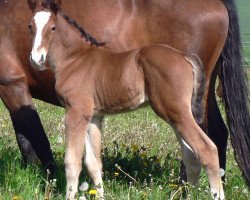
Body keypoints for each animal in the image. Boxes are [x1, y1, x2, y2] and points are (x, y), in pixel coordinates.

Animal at [0, 0, 249, 188]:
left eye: (52, 28)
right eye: (29, 27)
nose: (37, 59)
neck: (76, 58)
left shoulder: (15, 85)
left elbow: (43, 145)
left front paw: (49, 183)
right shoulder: (91, 114)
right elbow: (89, 161)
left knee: (203, 144)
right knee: (214, 136)